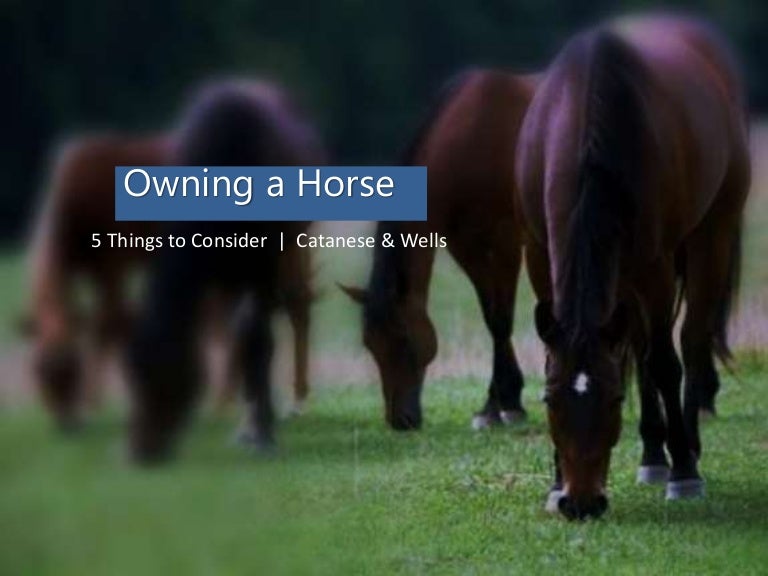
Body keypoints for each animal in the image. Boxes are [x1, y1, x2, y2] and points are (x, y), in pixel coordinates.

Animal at [127, 79, 324, 463]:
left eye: (171, 371)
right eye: (134, 372)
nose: (141, 451)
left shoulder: (263, 265)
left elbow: (257, 338)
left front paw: (263, 433)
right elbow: (240, 337)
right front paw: (249, 426)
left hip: (297, 244)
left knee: (297, 308)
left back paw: (295, 400)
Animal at [341, 70, 537, 430]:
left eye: (404, 340)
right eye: (369, 344)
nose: (400, 420)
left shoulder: (505, 243)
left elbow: (501, 320)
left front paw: (508, 405)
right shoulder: (466, 247)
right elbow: (491, 317)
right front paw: (495, 405)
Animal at [516, 15, 750, 519]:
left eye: (613, 399)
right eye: (549, 398)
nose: (581, 504)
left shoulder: (655, 267)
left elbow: (664, 363)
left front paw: (684, 473)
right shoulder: (539, 254)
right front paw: (555, 483)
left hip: (709, 239)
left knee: (690, 340)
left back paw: (685, 449)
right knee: (641, 346)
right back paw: (652, 454)